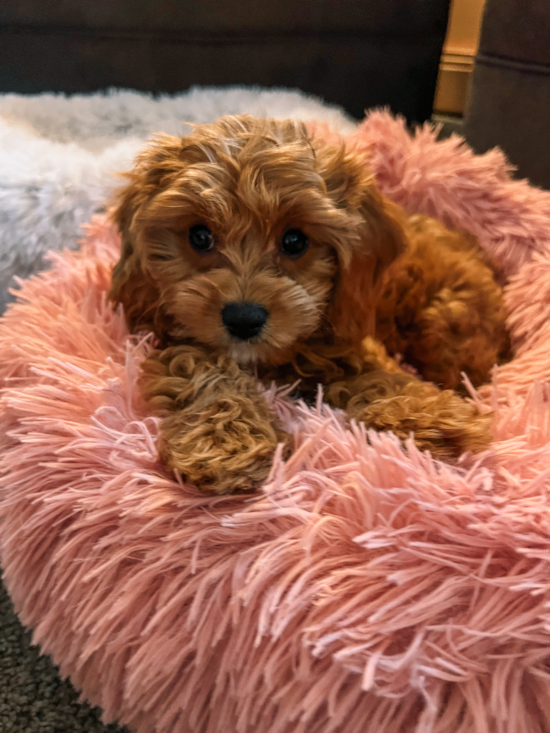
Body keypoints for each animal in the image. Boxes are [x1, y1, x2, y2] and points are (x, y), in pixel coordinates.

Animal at [110, 113, 512, 492]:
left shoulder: (352, 336)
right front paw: (226, 441)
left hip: (443, 324)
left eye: (294, 241)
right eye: (199, 236)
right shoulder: (179, 335)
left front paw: (434, 417)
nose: (243, 318)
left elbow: (382, 376)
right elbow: (205, 370)